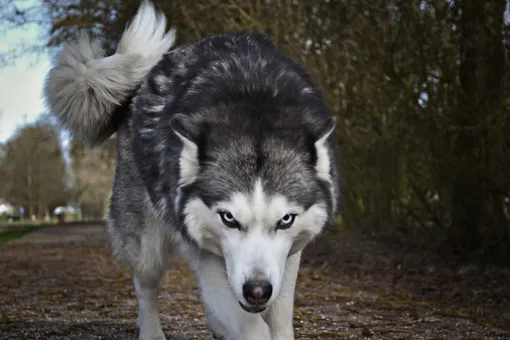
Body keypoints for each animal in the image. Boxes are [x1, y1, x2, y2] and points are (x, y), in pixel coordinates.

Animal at [43, 1, 340, 338]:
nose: (257, 291)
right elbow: (248, 324)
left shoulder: (288, 256)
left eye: (286, 219)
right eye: (228, 218)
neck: (254, 104)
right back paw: (151, 332)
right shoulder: (201, 248)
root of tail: (142, 82)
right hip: (147, 244)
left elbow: (277, 317)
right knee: (145, 287)